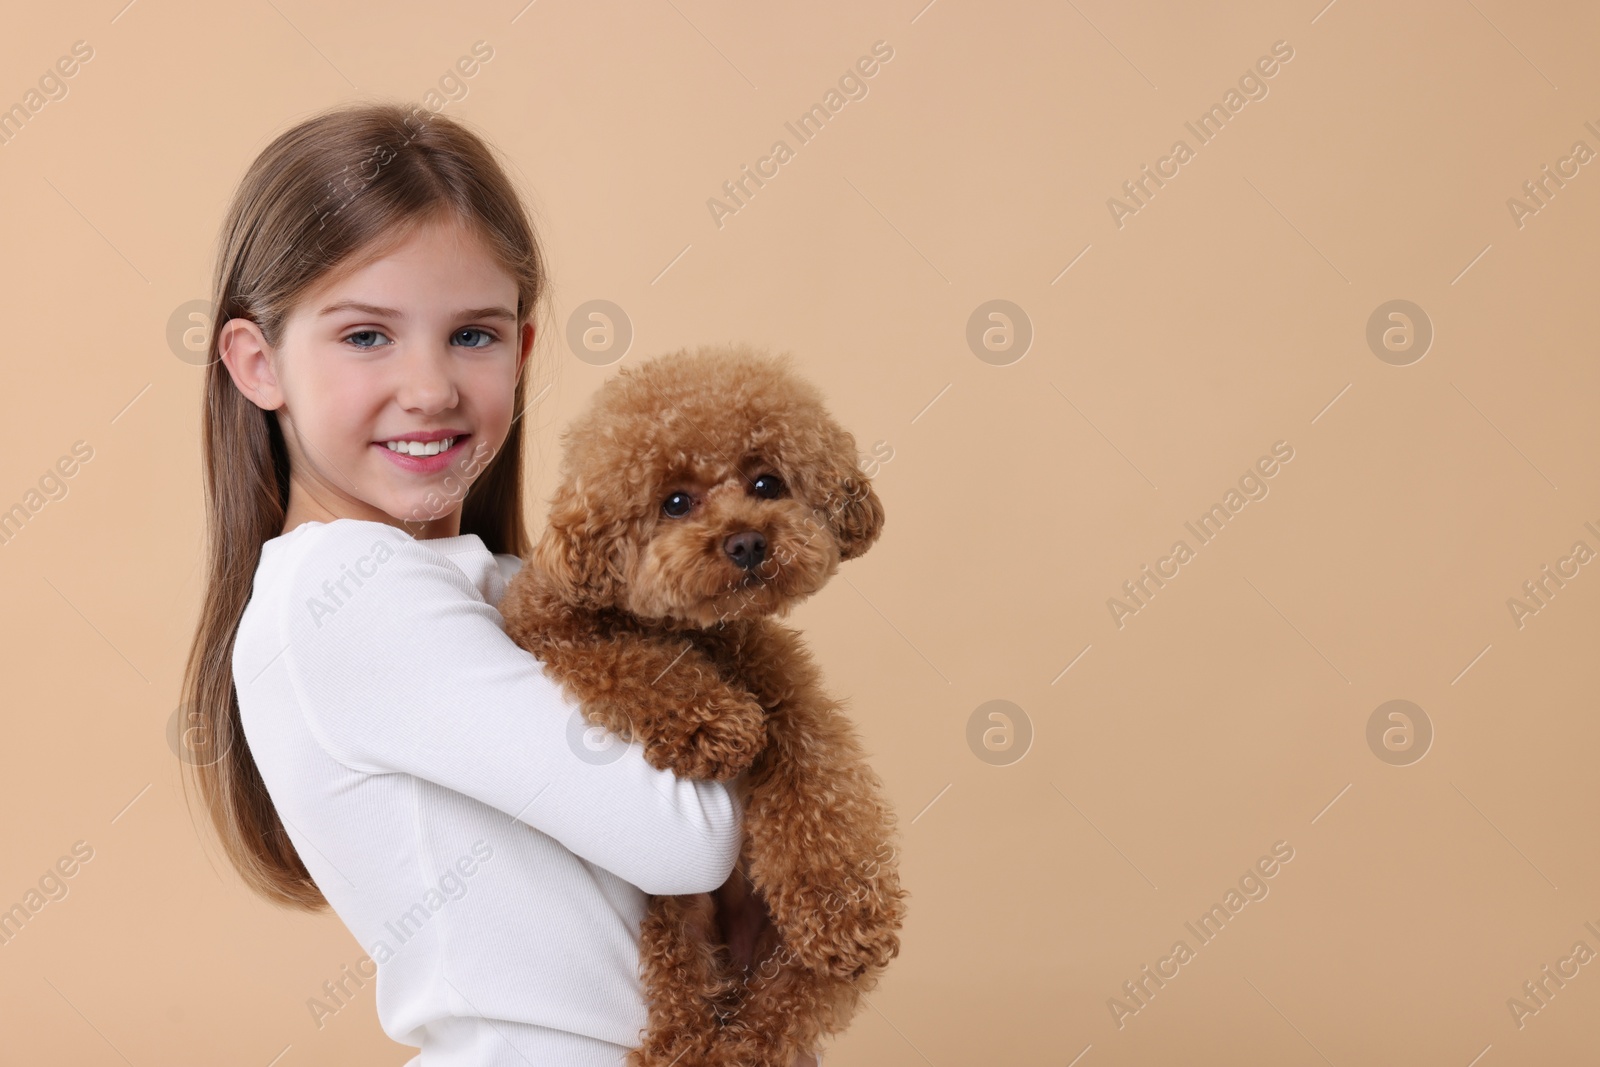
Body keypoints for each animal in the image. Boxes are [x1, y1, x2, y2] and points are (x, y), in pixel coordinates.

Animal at [499, 343, 902, 1067]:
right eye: (676, 502)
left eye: (768, 483)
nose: (746, 541)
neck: (696, 632)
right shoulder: (551, 628)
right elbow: (631, 662)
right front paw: (719, 725)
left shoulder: (790, 695)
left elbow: (821, 787)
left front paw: (845, 907)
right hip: (676, 915)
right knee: (685, 986)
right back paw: (683, 1045)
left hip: (793, 972)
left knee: (779, 1013)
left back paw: (740, 1042)